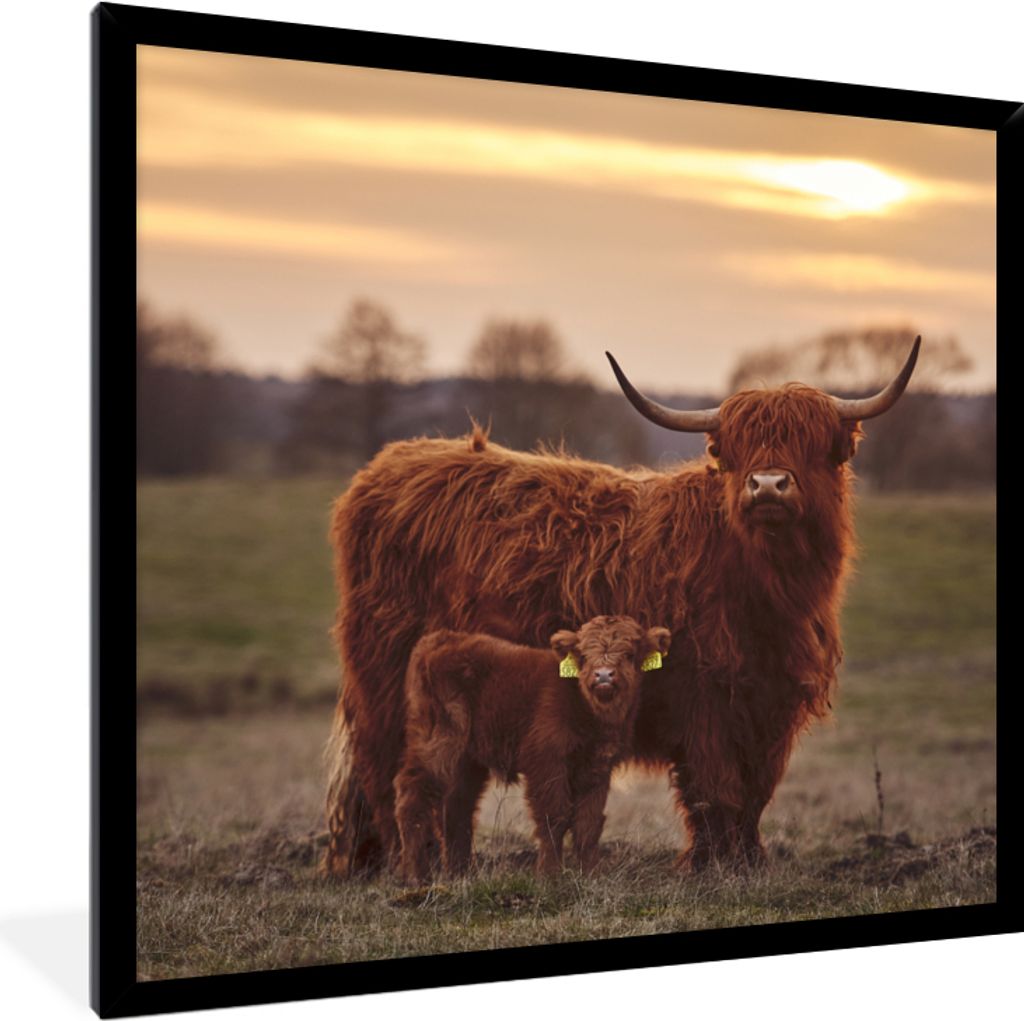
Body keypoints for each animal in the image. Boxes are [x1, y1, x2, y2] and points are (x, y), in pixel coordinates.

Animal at [394, 617, 672, 883]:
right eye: (583, 655)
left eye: (629, 654)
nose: (603, 675)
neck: (588, 710)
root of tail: (437, 640)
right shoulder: (547, 762)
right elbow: (554, 817)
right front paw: (549, 875)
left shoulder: (598, 767)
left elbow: (588, 823)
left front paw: (592, 873)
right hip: (439, 742)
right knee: (413, 794)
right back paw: (415, 876)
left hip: (467, 760)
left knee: (457, 806)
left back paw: (460, 873)